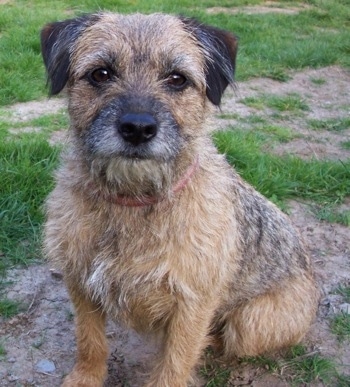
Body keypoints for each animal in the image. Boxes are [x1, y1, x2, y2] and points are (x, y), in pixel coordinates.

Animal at [41, 12, 320, 387]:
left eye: (177, 79)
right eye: (101, 73)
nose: (138, 128)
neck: (135, 201)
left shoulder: (192, 303)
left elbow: (176, 361)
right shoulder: (80, 284)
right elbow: (90, 341)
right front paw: (85, 378)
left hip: (250, 322)